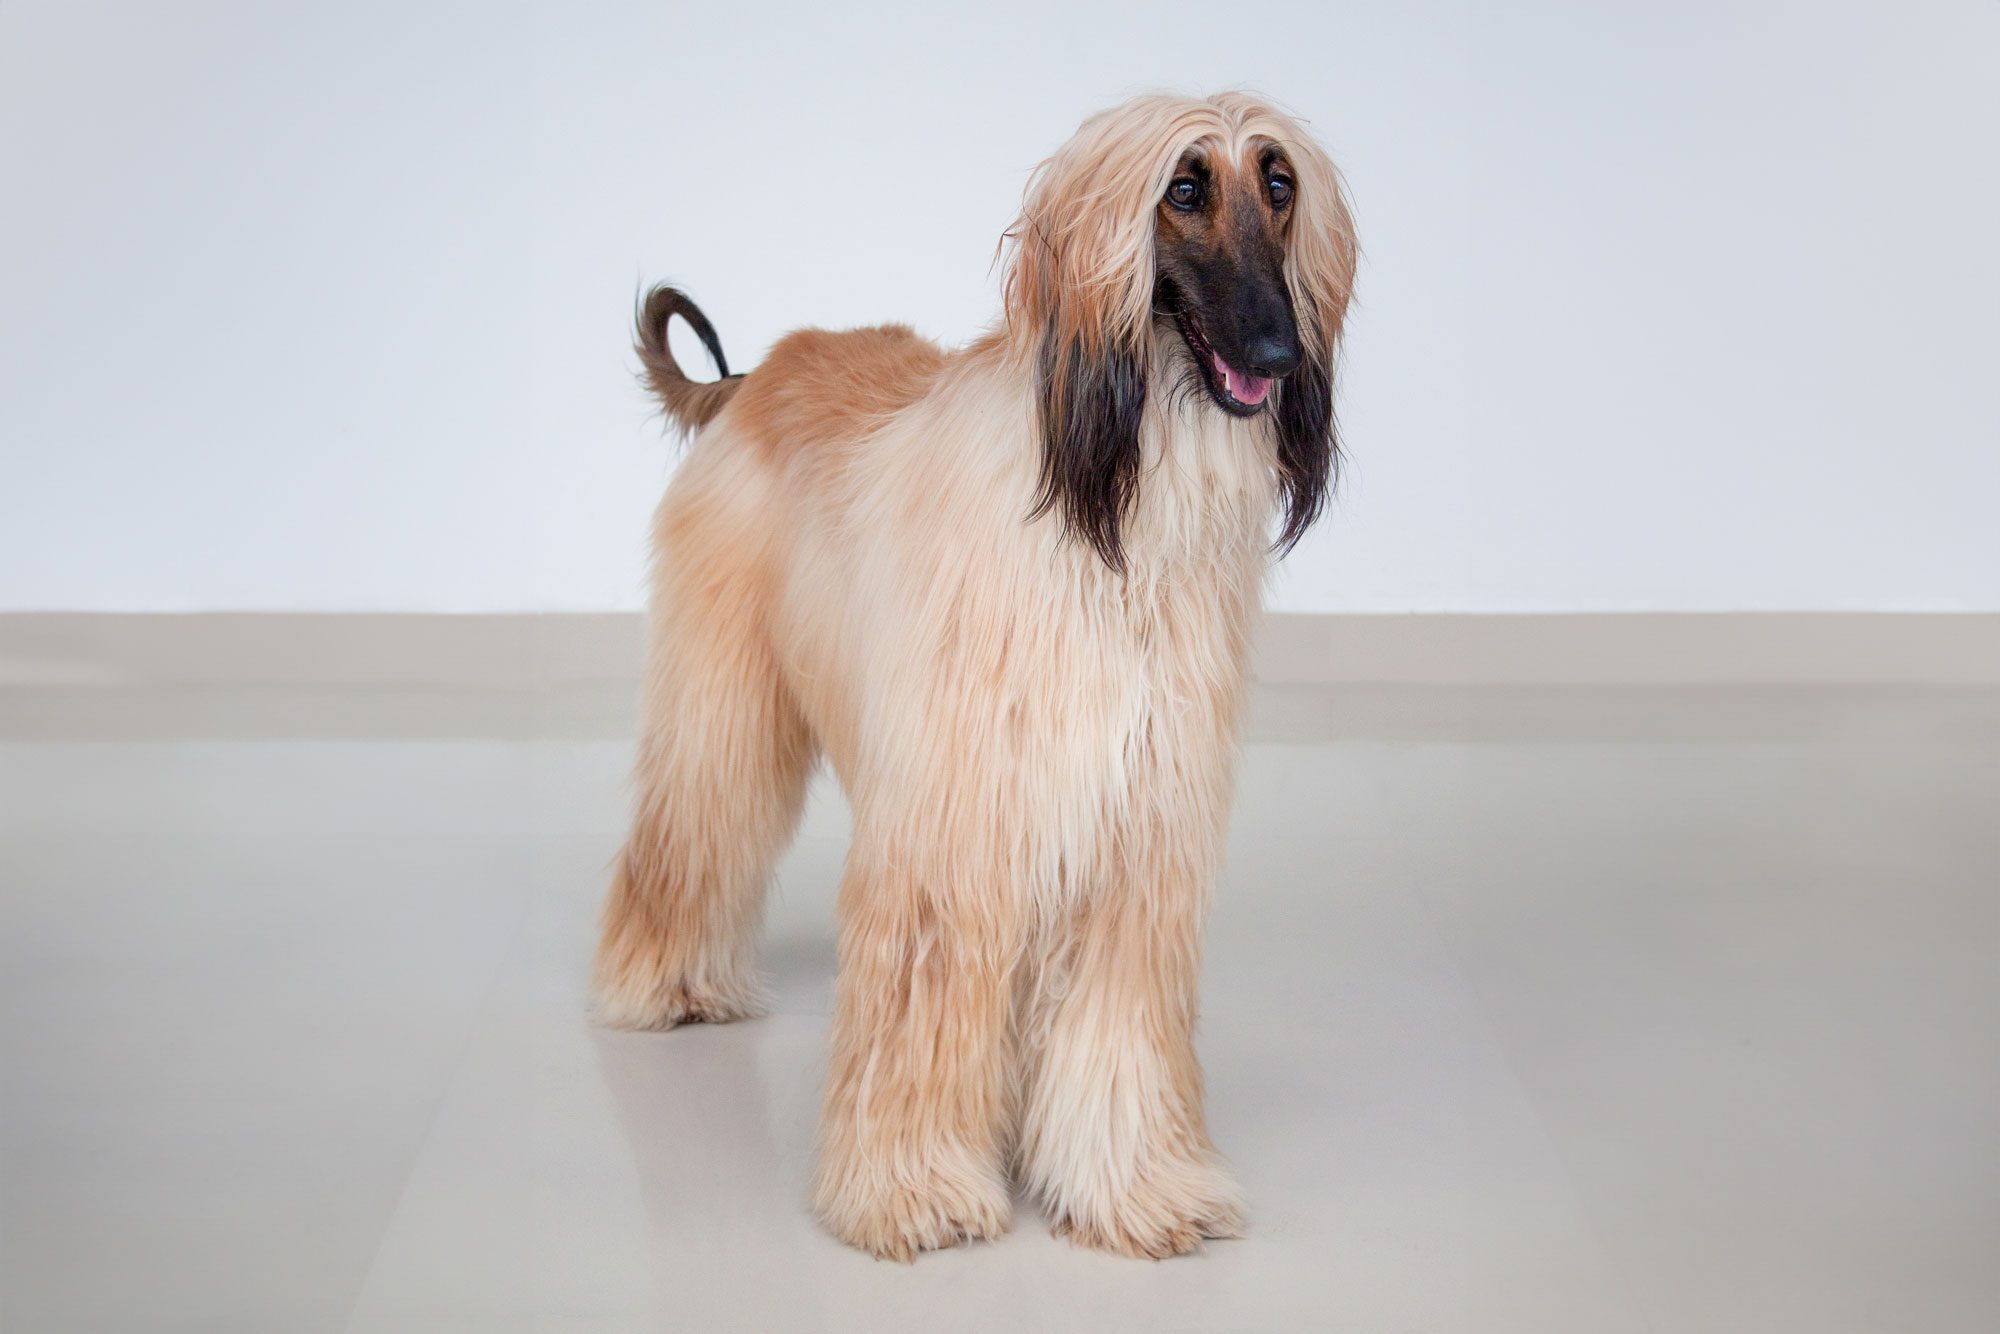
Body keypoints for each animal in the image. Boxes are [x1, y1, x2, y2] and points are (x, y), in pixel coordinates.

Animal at [592, 91, 1360, 1264]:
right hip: (723, 683)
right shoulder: (955, 818)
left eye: (1279, 183)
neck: (1109, 512)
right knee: (695, 816)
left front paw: (1134, 1185)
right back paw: (662, 981)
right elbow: (925, 990)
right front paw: (910, 1187)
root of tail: (746, 379)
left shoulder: (1137, 820)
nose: (1278, 353)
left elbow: (1115, 1018)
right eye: (1183, 188)